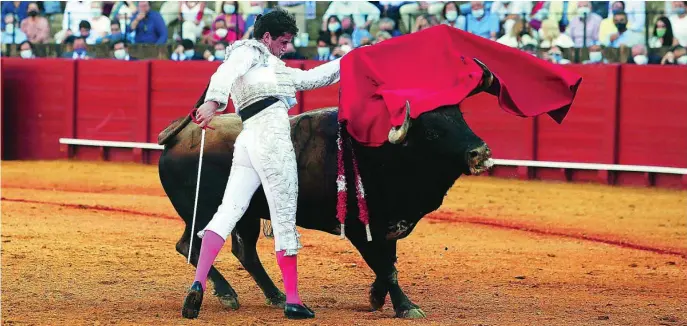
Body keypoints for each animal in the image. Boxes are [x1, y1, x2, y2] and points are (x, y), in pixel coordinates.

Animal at [158, 93, 494, 318]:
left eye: (462, 119)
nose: (480, 152)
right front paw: (406, 307)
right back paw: (228, 294)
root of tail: (177, 134)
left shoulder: (388, 226)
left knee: (242, 251)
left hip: (247, 215)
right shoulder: (361, 229)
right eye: (434, 132)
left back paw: (276, 295)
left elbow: (388, 264)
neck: (384, 156)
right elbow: (387, 268)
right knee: (191, 244)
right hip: (203, 211)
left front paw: (376, 298)